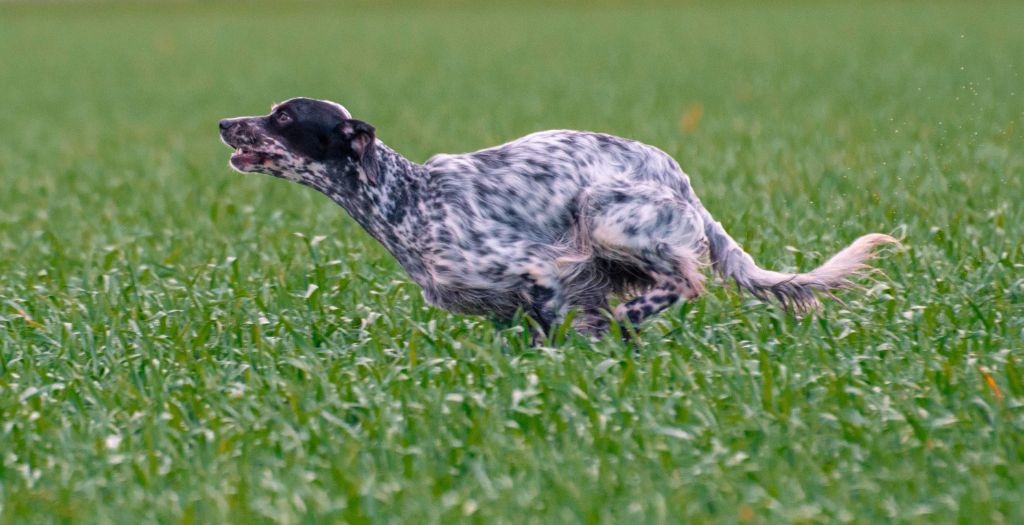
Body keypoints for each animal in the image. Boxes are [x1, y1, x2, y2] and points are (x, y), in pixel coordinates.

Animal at [218, 96, 897, 337]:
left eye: (283, 116)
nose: (225, 122)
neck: (408, 201)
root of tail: (684, 184)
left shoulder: (538, 275)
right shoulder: (503, 306)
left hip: (604, 212)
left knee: (684, 281)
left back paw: (632, 318)